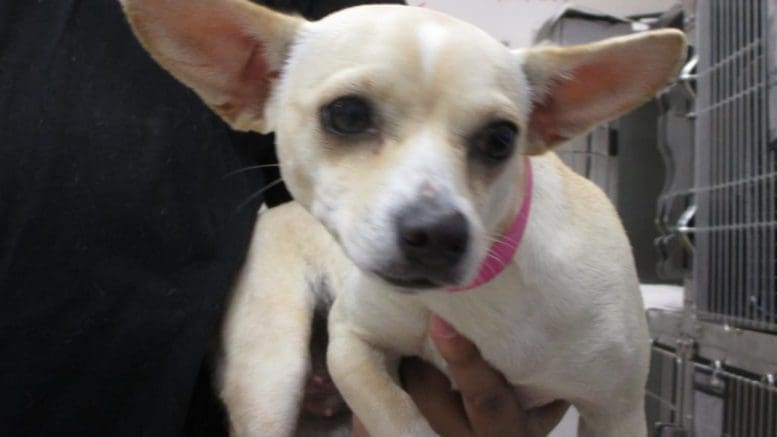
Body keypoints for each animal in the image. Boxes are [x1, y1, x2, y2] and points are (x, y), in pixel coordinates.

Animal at [121, 1, 684, 434]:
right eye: (347, 115)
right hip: (271, 379)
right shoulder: (352, 346)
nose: (437, 234)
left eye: (501, 140)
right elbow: (402, 419)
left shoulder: (616, 411)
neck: (475, 299)